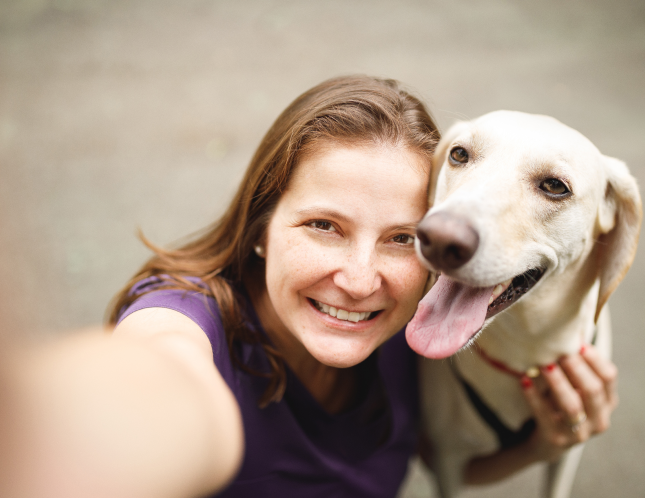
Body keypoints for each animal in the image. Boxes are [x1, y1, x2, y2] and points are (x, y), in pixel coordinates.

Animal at [406, 112, 640, 498]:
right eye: (459, 154)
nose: (438, 239)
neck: (526, 351)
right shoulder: (447, 460)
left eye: (555, 186)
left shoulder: (565, 454)